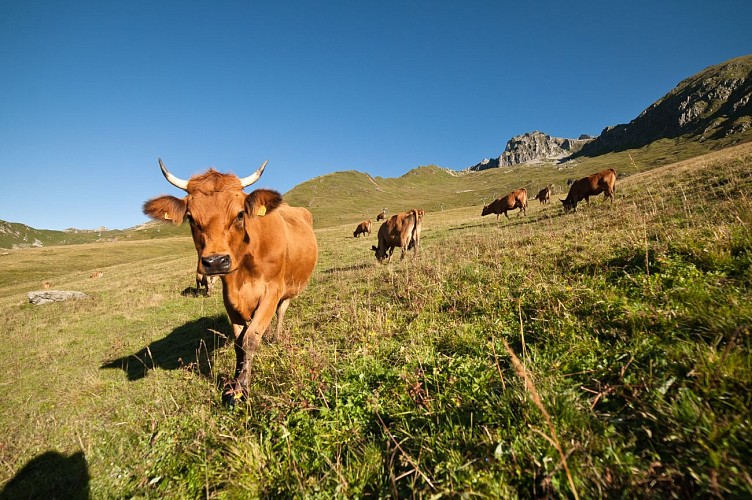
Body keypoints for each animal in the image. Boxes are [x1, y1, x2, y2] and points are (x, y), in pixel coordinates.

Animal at [143, 158, 318, 400]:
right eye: (191, 218)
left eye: (240, 214)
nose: (216, 261)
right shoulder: (230, 299)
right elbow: (239, 343)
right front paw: (234, 384)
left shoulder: (271, 291)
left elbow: (250, 339)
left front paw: (242, 390)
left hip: (291, 287)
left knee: (281, 311)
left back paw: (275, 337)